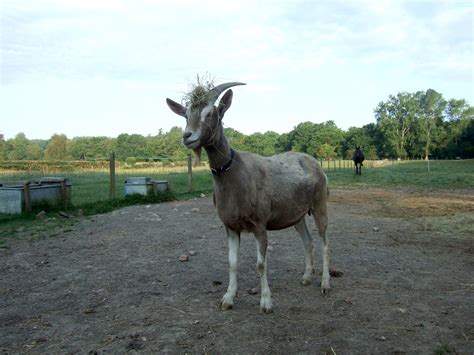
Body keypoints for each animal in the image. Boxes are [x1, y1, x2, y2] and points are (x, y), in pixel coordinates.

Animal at [167, 82, 330, 312]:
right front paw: (228, 298)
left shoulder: (259, 224)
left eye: (211, 113)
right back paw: (306, 277)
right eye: (186, 115)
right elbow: (232, 262)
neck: (235, 171)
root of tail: (315, 162)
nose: (187, 136)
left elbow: (260, 264)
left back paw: (325, 284)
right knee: (308, 241)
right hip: (297, 214)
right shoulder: (230, 226)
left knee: (324, 241)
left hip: (319, 203)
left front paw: (266, 302)